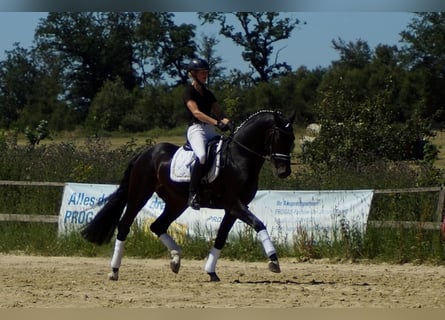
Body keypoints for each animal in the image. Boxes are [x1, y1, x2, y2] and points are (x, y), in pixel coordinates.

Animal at [80, 109, 294, 280]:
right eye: (278, 137)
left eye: (291, 140)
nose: (284, 172)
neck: (239, 158)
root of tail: (146, 153)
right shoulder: (235, 204)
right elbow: (259, 224)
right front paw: (274, 262)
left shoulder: (233, 209)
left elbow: (221, 237)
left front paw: (211, 272)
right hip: (139, 194)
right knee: (124, 225)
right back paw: (114, 271)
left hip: (176, 202)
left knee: (158, 226)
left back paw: (175, 260)